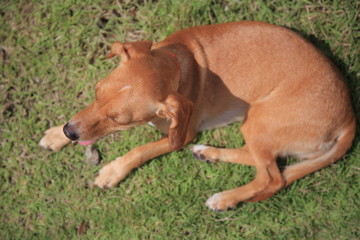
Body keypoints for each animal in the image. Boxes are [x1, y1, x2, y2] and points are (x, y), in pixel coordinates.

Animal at [40, 22, 356, 210]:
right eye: (95, 91)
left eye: (120, 120)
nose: (69, 133)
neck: (177, 65)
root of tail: (349, 118)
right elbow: (80, 117)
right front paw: (56, 135)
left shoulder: (181, 136)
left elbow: (140, 149)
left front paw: (113, 171)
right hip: (255, 128)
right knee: (261, 162)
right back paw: (209, 153)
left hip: (259, 121)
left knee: (271, 179)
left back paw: (225, 198)